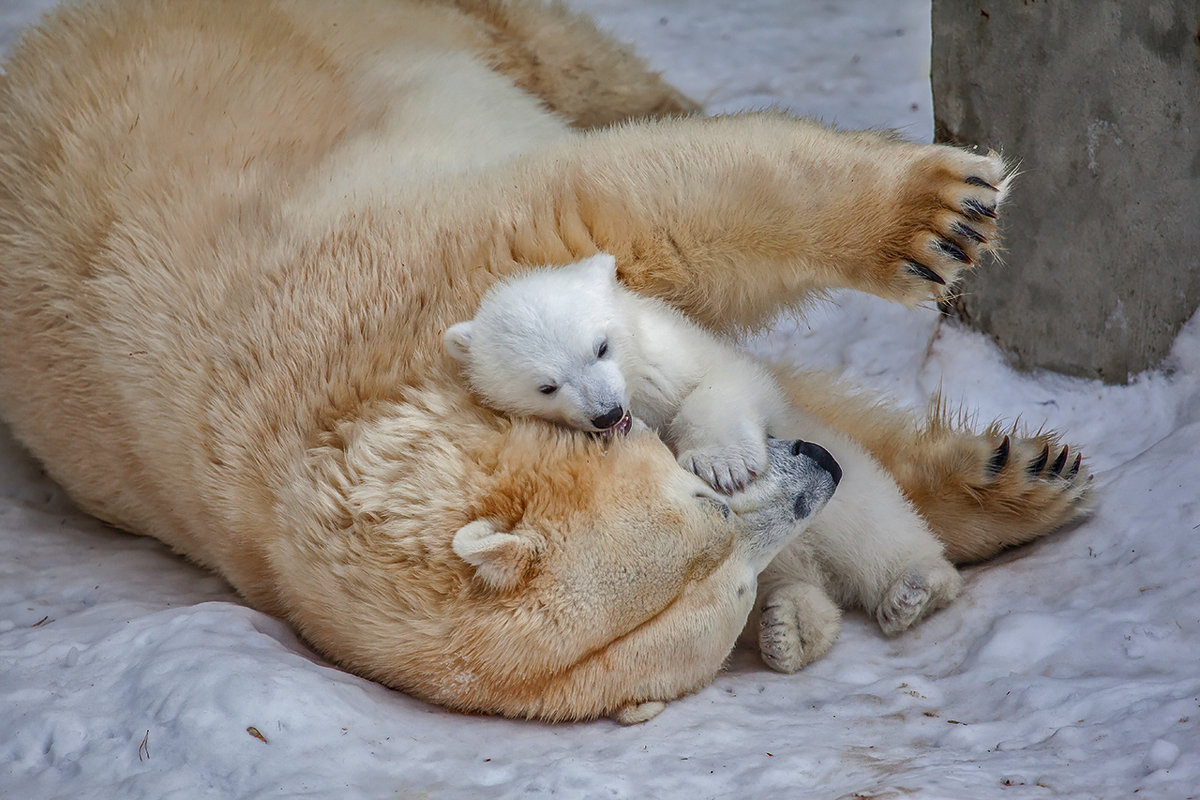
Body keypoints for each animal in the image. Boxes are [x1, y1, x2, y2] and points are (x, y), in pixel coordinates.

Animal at [0, 0, 1094, 724]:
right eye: (727, 590)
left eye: (684, 489)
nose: (809, 477)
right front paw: (992, 488)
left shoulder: (414, 262)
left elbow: (636, 203)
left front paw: (939, 216)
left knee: (598, 79)